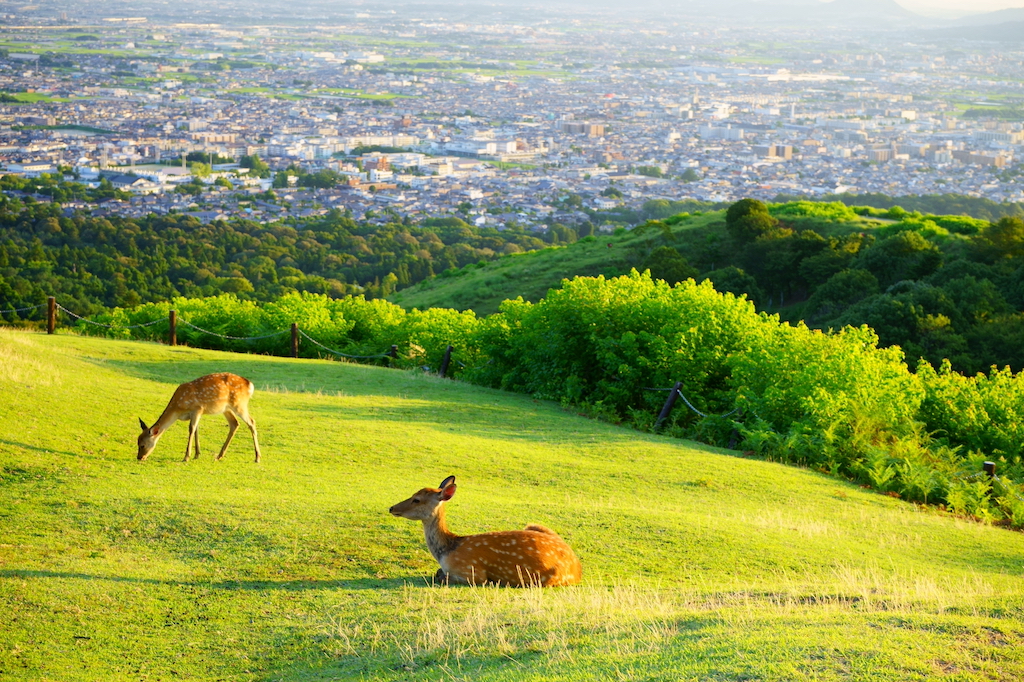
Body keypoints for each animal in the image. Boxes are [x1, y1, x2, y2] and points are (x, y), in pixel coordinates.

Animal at [387, 473, 581, 585]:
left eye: (417, 499)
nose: (392, 508)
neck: (446, 551)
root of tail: (578, 569)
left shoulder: (472, 572)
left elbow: (440, 576)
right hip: (534, 525)